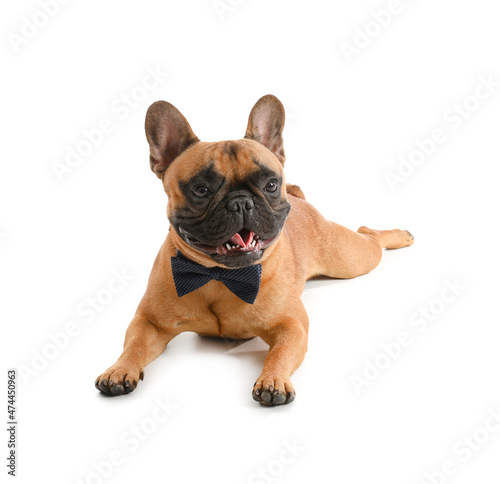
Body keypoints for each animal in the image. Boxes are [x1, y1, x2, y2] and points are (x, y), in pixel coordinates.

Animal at [94, 94, 414, 404]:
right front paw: (119, 370)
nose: (240, 202)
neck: (220, 275)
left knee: (369, 236)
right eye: (201, 190)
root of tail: (301, 199)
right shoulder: (150, 322)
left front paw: (273, 380)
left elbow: (281, 352)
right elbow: (134, 345)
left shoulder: (291, 325)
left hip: (349, 258)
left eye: (270, 184)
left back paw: (400, 236)